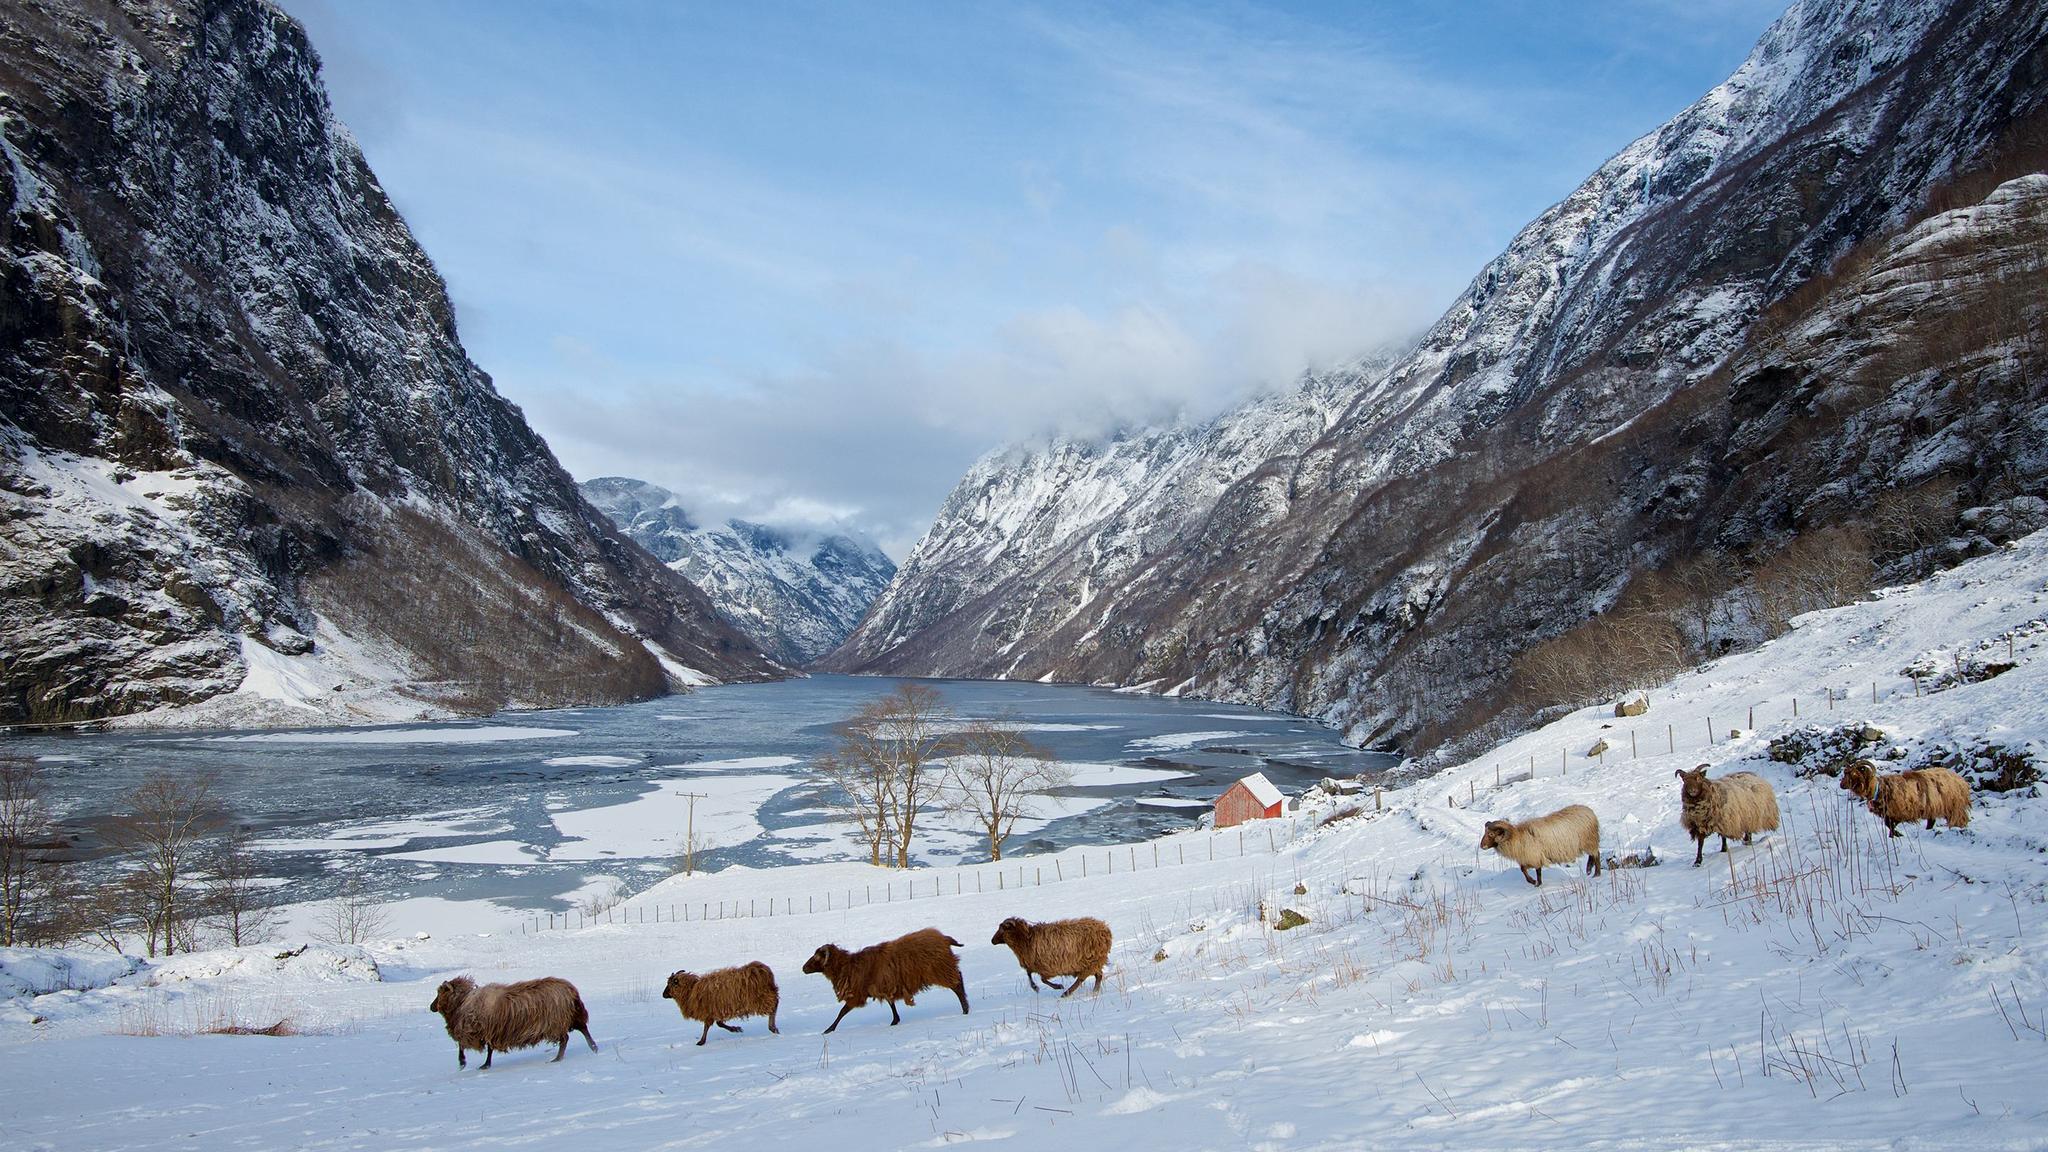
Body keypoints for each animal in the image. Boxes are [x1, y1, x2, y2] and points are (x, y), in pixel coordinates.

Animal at [428, 975, 597, 1070]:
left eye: (440, 993)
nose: (431, 1007)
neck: (461, 1003)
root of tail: (571, 990)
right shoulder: (491, 1031)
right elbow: (489, 1049)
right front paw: (485, 1064)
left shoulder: (476, 1031)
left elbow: (463, 1046)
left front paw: (463, 1062)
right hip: (571, 1016)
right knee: (583, 1028)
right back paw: (593, 1047)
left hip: (556, 1022)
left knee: (565, 1038)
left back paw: (557, 1058)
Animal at [801, 927, 969, 1033]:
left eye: (817, 957)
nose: (803, 968)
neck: (848, 966)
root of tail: (945, 939)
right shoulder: (884, 985)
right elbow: (891, 1003)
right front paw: (895, 1021)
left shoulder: (858, 994)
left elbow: (842, 1011)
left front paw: (829, 1029)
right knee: (958, 979)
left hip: (940, 969)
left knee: (957, 984)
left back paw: (965, 1009)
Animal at [1840, 759, 1970, 836]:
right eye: (1845, 772)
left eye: (1853, 774)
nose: (1841, 785)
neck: (1879, 788)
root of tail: (1960, 780)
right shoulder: (1890, 813)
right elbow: (1888, 825)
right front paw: (1895, 835)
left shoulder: (1899, 812)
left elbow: (1889, 825)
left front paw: (1897, 834)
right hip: (1933, 808)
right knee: (1931, 822)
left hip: (1954, 807)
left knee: (1959, 820)